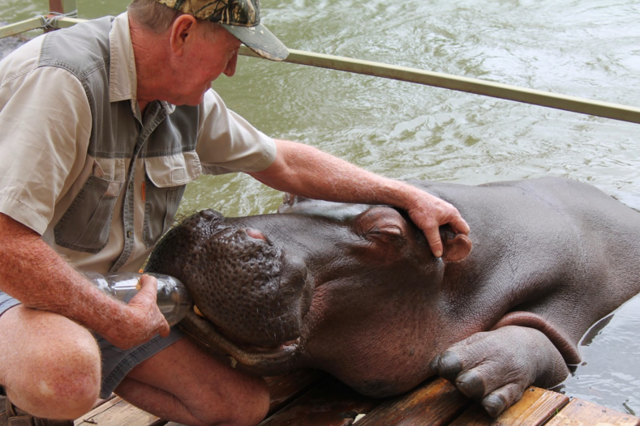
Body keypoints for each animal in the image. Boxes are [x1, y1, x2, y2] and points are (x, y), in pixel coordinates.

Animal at [145, 176, 640, 416]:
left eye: (387, 233)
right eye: (289, 195)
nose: (215, 228)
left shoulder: (574, 290)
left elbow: (548, 337)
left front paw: (474, 367)